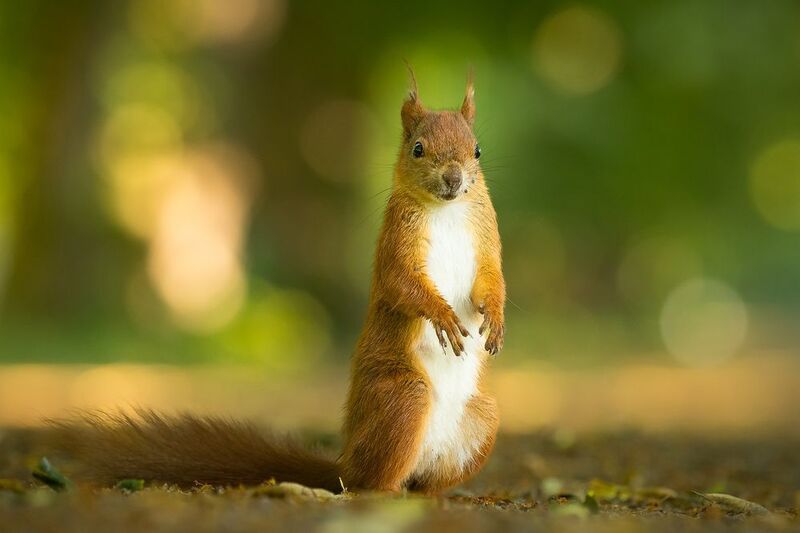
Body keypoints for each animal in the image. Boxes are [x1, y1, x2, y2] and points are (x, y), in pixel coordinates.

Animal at [51, 70, 506, 495]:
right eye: (418, 149)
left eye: (478, 151)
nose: (453, 179)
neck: (446, 210)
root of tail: (344, 465)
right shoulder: (396, 242)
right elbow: (401, 284)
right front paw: (442, 315)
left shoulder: (485, 235)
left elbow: (492, 280)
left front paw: (496, 320)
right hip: (404, 398)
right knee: (371, 480)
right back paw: (386, 492)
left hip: (484, 418)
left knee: (426, 478)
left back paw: (434, 494)